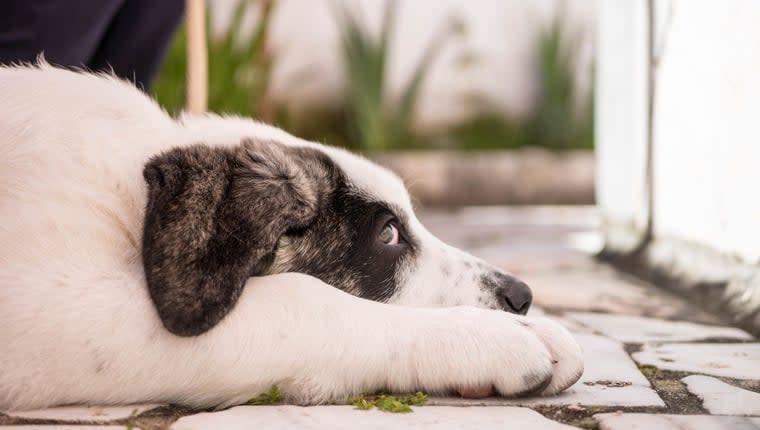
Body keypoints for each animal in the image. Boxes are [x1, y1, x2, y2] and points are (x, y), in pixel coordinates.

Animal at [0, 63, 580, 410]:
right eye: (388, 234)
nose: (522, 296)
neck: (129, 203)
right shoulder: (63, 310)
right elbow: (306, 303)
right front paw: (493, 338)